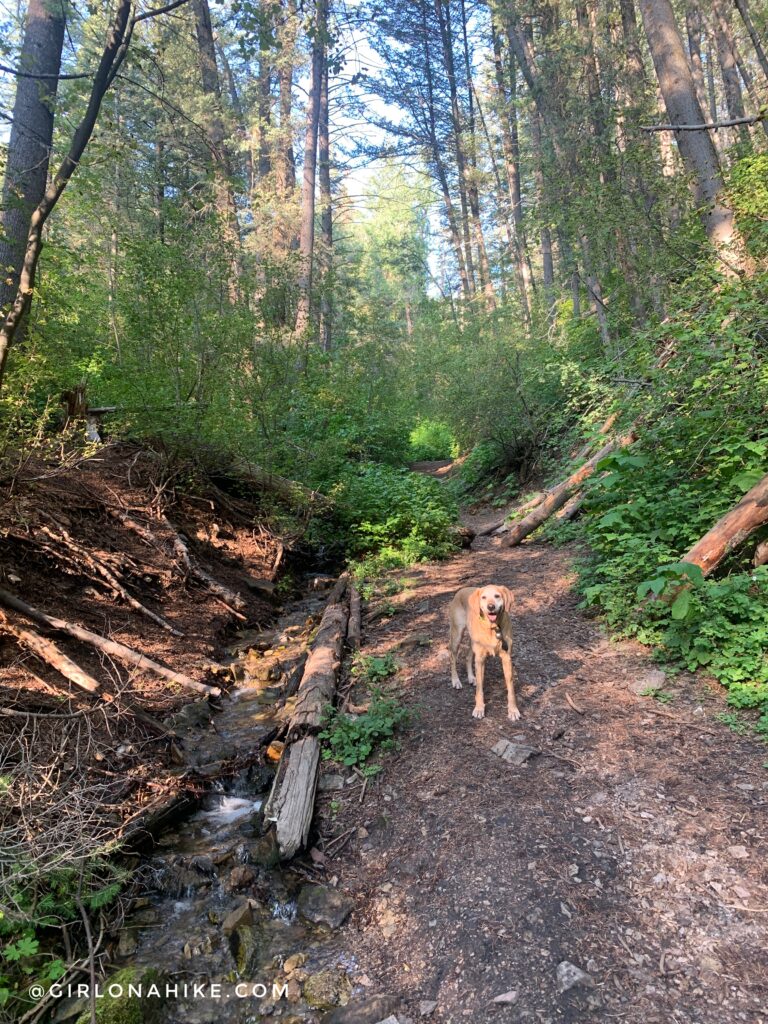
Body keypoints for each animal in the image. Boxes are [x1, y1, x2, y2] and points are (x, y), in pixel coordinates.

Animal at [448, 585, 520, 720]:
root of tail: (461, 590)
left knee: (468, 656)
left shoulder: (506, 658)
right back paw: (456, 680)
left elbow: (511, 689)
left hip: (473, 642)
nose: (490, 606)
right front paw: (479, 708)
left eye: (497, 596)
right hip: (457, 635)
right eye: (484, 597)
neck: (493, 628)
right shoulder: (480, 660)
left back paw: (471, 677)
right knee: (453, 657)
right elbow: (480, 689)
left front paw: (513, 710)